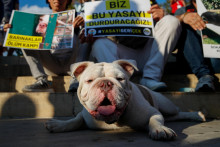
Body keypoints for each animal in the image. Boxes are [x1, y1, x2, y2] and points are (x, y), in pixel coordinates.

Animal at [45, 60, 206, 141]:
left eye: (120, 79)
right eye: (89, 81)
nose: (105, 83)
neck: (113, 120)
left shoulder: (153, 112)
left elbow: (155, 119)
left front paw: (160, 129)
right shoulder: (85, 116)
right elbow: (74, 120)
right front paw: (58, 124)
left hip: (166, 105)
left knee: (176, 113)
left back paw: (197, 115)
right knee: (172, 117)